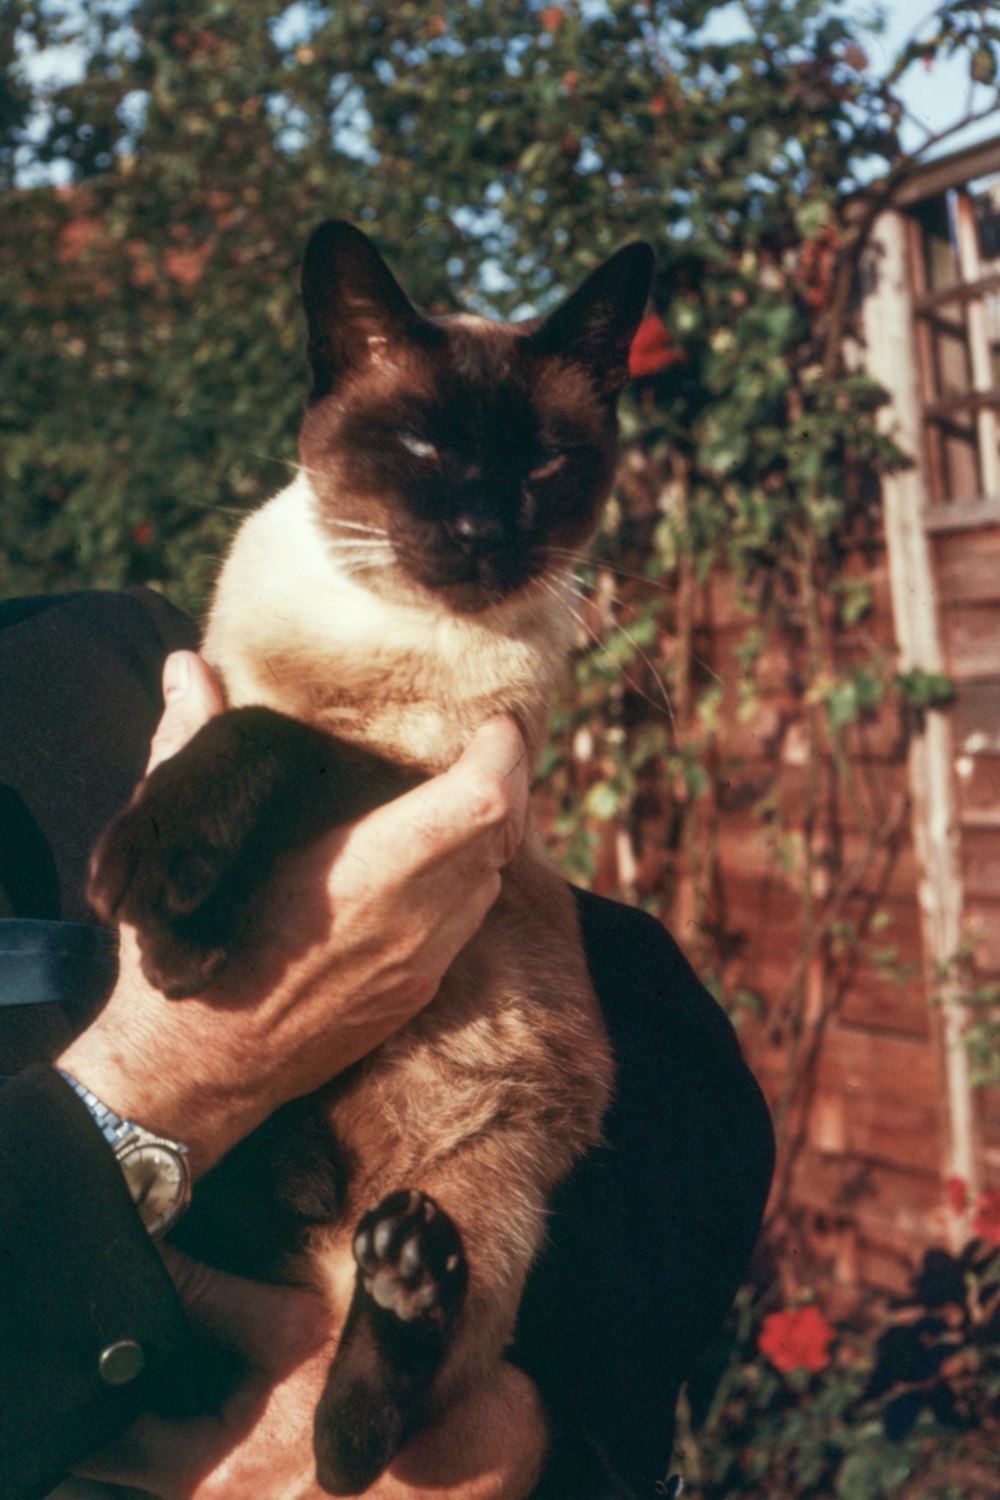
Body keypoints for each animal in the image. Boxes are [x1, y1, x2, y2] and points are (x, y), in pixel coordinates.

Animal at [88, 217, 656, 1494]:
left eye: (543, 466)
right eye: (420, 447)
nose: (484, 537)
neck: (379, 621)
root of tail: (336, 1261)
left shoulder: (437, 781)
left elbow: (272, 739)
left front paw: (164, 897)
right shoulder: (211, 700)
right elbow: (237, 742)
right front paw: (180, 952)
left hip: (493, 1192)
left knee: (362, 1440)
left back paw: (390, 1295)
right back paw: (299, 1199)